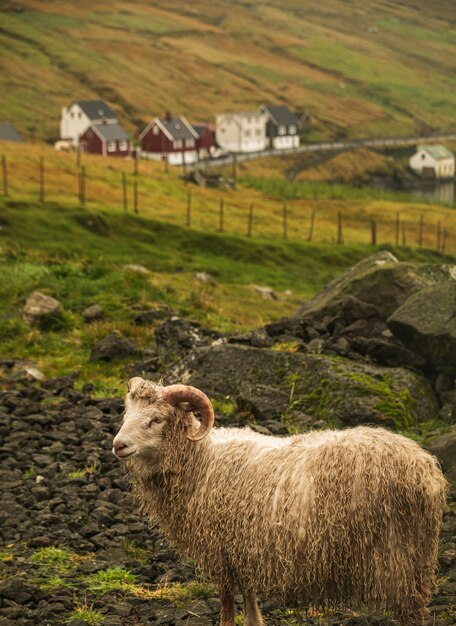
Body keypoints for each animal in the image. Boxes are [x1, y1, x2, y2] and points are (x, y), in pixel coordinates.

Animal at [112, 376, 448, 624]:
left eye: (156, 419)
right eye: (127, 414)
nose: (118, 445)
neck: (201, 461)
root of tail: (426, 470)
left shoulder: (220, 550)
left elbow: (226, 603)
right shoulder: (241, 547)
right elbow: (248, 595)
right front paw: (255, 621)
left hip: (397, 553)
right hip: (416, 556)